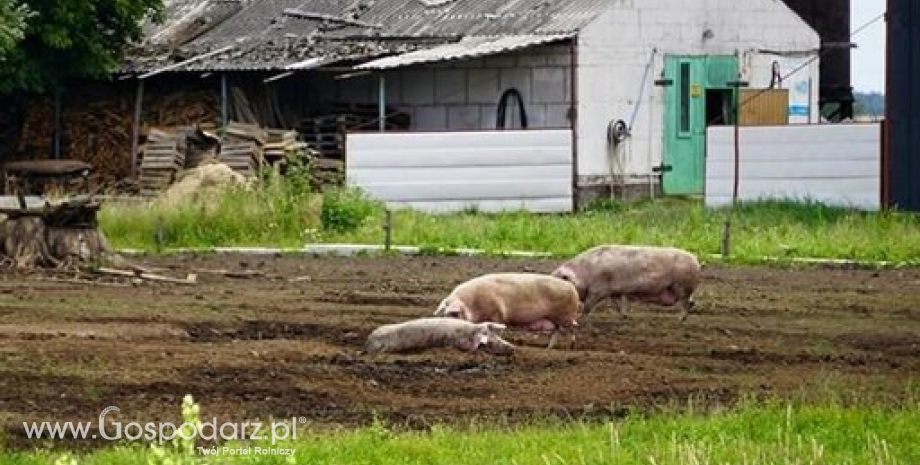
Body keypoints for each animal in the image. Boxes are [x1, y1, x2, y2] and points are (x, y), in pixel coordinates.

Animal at [434, 272, 580, 348]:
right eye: (444, 314)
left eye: (455, 314)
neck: (472, 304)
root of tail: (570, 286)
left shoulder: (496, 313)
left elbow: (498, 328)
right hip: (557, 318)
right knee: (557, 330)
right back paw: (548, 347)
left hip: (564, 316)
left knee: (572, 327)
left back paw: (571, 346)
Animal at [548, 245, 700, 320]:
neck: (584, 273)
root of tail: (696, 260)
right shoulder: (614, 291)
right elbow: (618, 305)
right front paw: (625, 317)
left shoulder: (598, 290)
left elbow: (587, 307)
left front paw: (581, 318)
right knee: (692, 302)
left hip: (682, 287)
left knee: (686, 303)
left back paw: (679, 319)